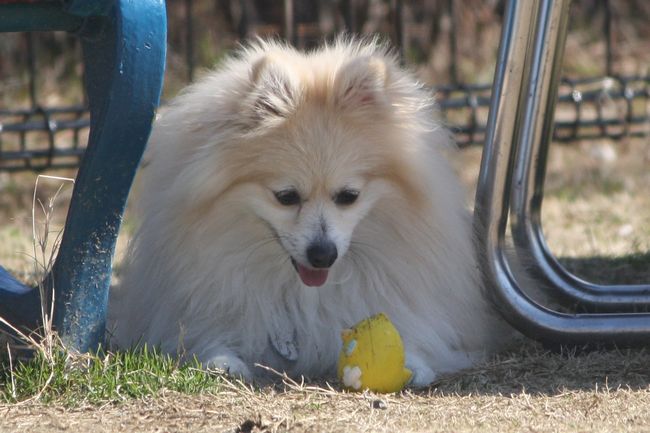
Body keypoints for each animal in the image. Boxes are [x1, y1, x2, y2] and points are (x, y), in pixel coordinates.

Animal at [109, 37, 510, 386]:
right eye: (286, 197)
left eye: (348, 196)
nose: (322, 254)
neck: (301, 293)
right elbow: (207, 338)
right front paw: (221, 361)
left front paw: (413, 363)